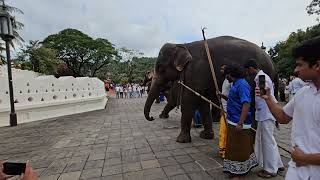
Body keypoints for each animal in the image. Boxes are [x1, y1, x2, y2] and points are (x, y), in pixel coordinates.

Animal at [144, 35, 278, 143]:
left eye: (160, 68)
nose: (152, 118)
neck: (183, 45)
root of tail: (272, 62)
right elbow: (202, 101)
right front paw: (205, 136)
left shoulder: (195, 70)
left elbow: (189, 100)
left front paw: (181, 140)